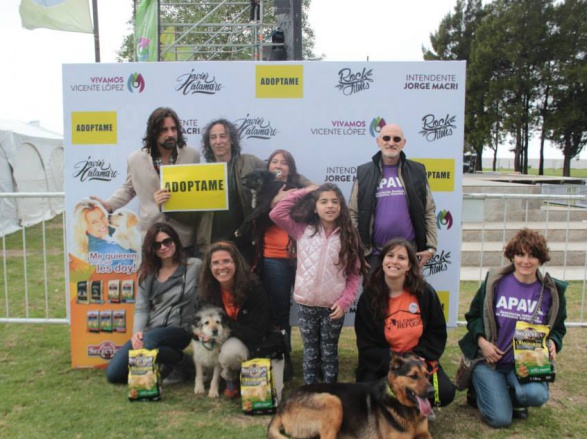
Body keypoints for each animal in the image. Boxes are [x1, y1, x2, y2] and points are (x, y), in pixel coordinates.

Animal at [267, 351, 434, 439]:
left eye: (427, 375)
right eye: (413, 376)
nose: (432, 392)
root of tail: (282, 406)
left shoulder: (425, 434)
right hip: (333, 402)